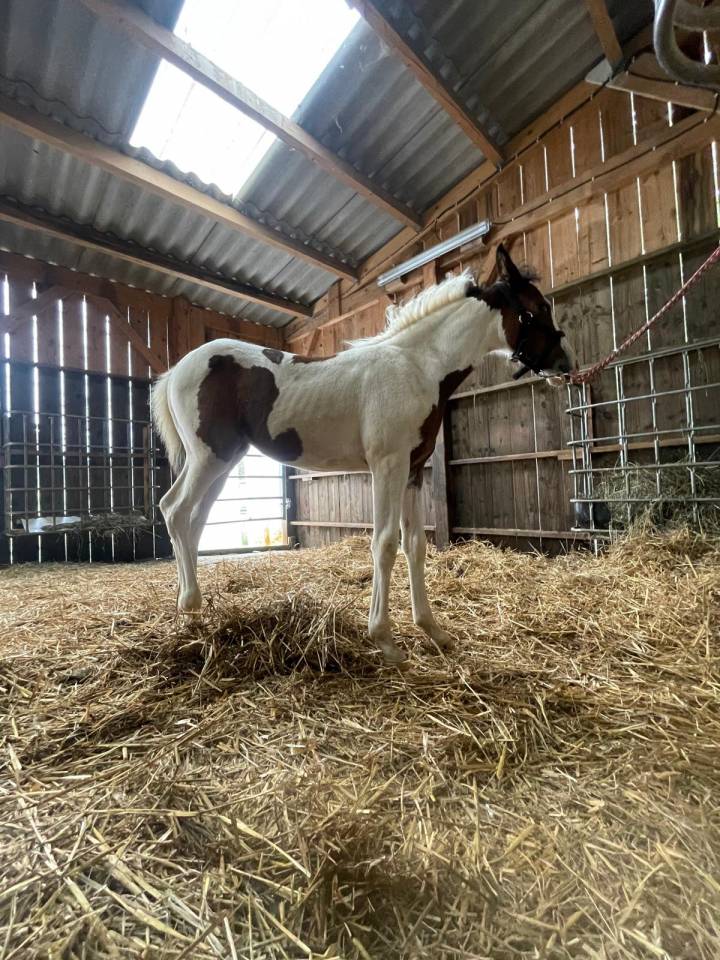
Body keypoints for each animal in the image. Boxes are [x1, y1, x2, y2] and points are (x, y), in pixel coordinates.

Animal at [151, 244, 572, 664]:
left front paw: (433, 630)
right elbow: (384, 544)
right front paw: (385, 639)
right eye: (536, 308)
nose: (564, 364)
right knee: (174, 510)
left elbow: (415, 545)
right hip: (208, 458)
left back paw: (191, 608)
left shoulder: (413, 471)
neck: (418, 367)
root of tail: (175, 372)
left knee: (193, 521)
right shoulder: (387, 466)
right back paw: (190, 608)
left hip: (223, 462)